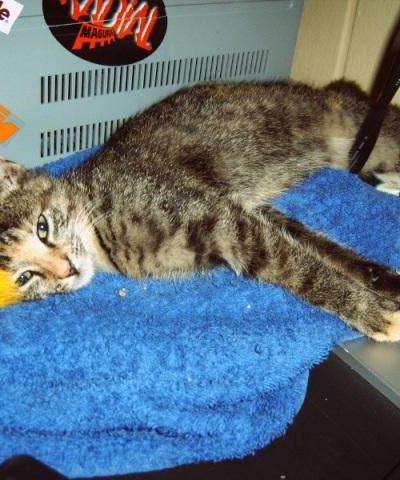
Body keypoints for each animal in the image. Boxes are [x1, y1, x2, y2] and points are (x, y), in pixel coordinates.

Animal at [1, 80, 400, 342]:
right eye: (24, 277)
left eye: (42, 227)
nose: (66, 269)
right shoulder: (241, 210)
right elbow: (312, 245)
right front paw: (380, 283)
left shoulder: (224, 221)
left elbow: (299, 267)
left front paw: (371, 312)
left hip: (372, 132)